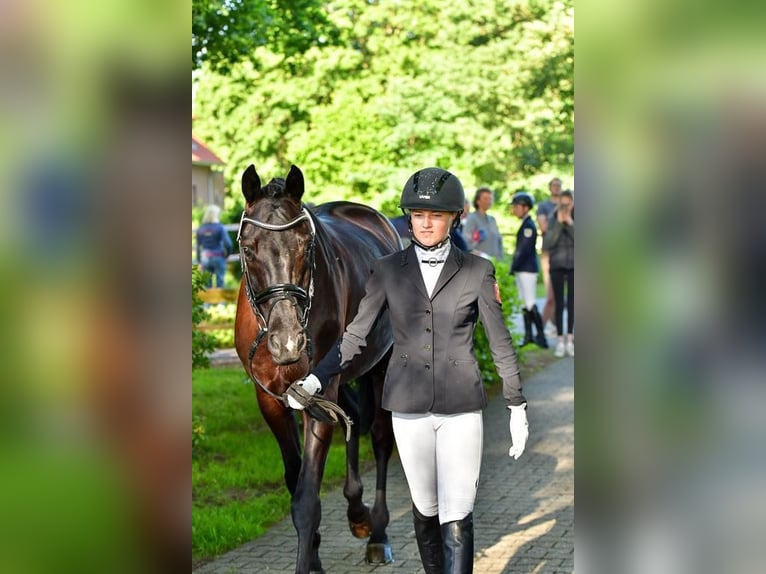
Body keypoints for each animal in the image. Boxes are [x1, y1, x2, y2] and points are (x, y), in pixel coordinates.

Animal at [234, 164, 402, 572]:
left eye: (305, 245)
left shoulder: (317, 392)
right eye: (248, 247)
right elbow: (293, 478)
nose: (287, 342)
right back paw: (358, 513)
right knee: (353, 416)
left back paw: (377, 532)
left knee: (380, 436)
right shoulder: (271, 399)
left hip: (380, 364)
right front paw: (314, 555)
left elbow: (306, 499)